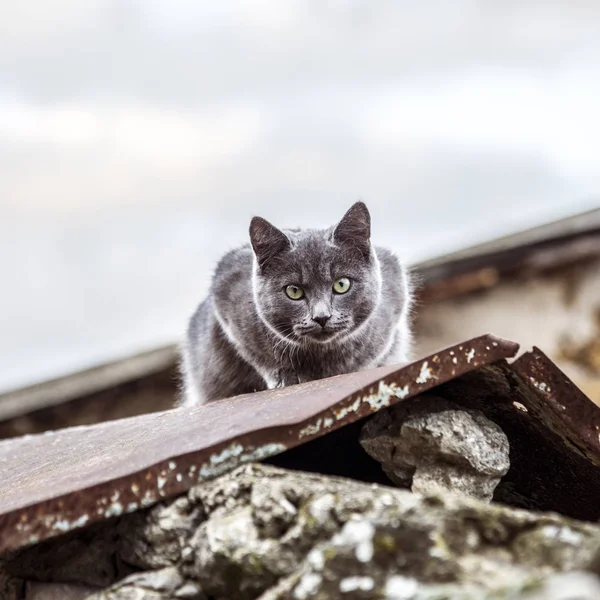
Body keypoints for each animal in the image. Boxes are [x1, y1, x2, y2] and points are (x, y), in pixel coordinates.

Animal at [178, 203, 412, 408]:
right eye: (294, 291)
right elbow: (257, 354)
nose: (321, 317)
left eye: (342, 284)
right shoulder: (226, 298)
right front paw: (286, 375)